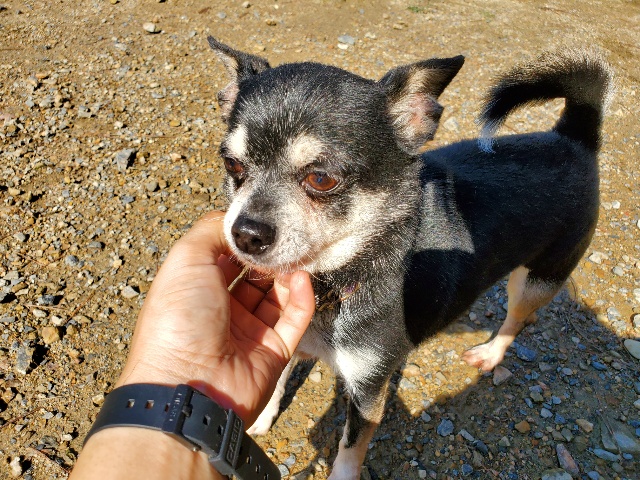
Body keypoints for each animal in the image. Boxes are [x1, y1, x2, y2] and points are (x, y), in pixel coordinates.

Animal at [207, 37, 613, 479]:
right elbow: (276, 381)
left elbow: (349, 446)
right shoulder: (289, 338)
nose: (245, 232)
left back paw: (490, 353)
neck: (334, 279)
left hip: (537, 279)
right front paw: (258, 420)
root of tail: (572, 138)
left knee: (518, 318)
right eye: (231, 164)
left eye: (321, 178)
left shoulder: (368, 390)